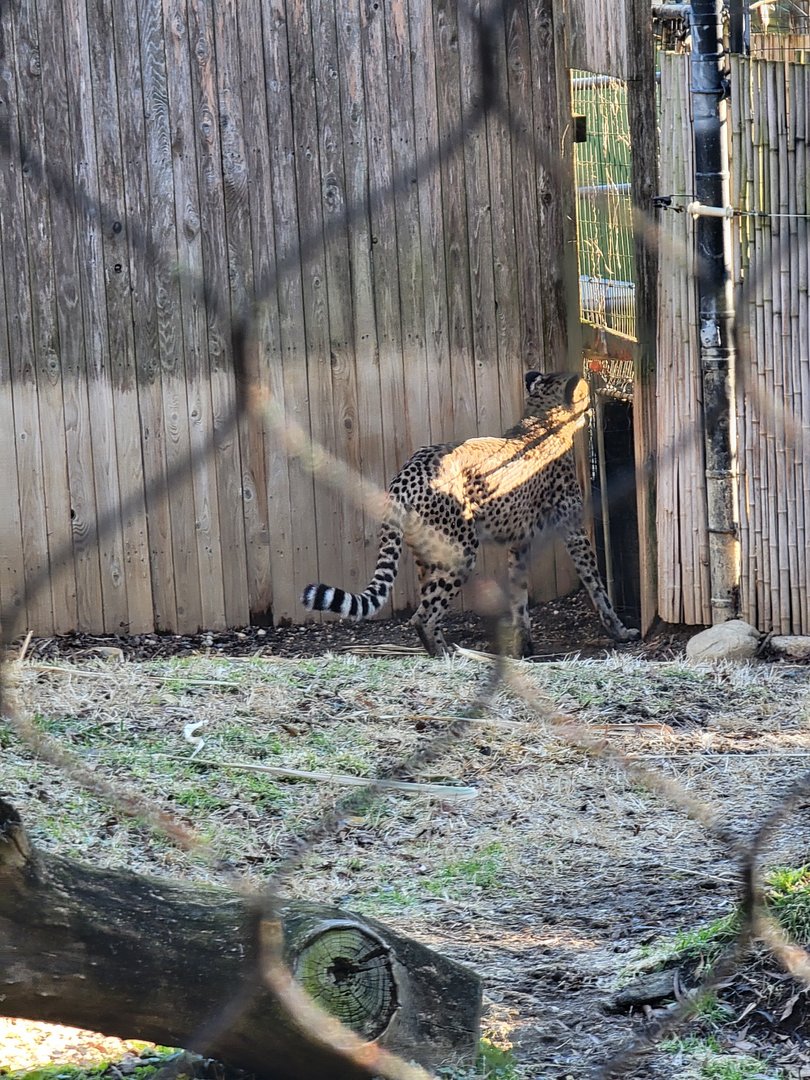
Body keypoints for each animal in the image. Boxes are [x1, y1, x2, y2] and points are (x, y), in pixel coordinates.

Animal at [302, 370, 640, 656]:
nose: (591, 411)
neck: (543, 418)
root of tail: (408, 470)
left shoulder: (520, 544)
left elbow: (519, 596)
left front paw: (524, 646)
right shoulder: (574, 533)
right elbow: (597, 585)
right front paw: (620, 631)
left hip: (428, 554)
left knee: (427, 604)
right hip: (461, 550)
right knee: (422, 616)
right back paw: (445, 656)